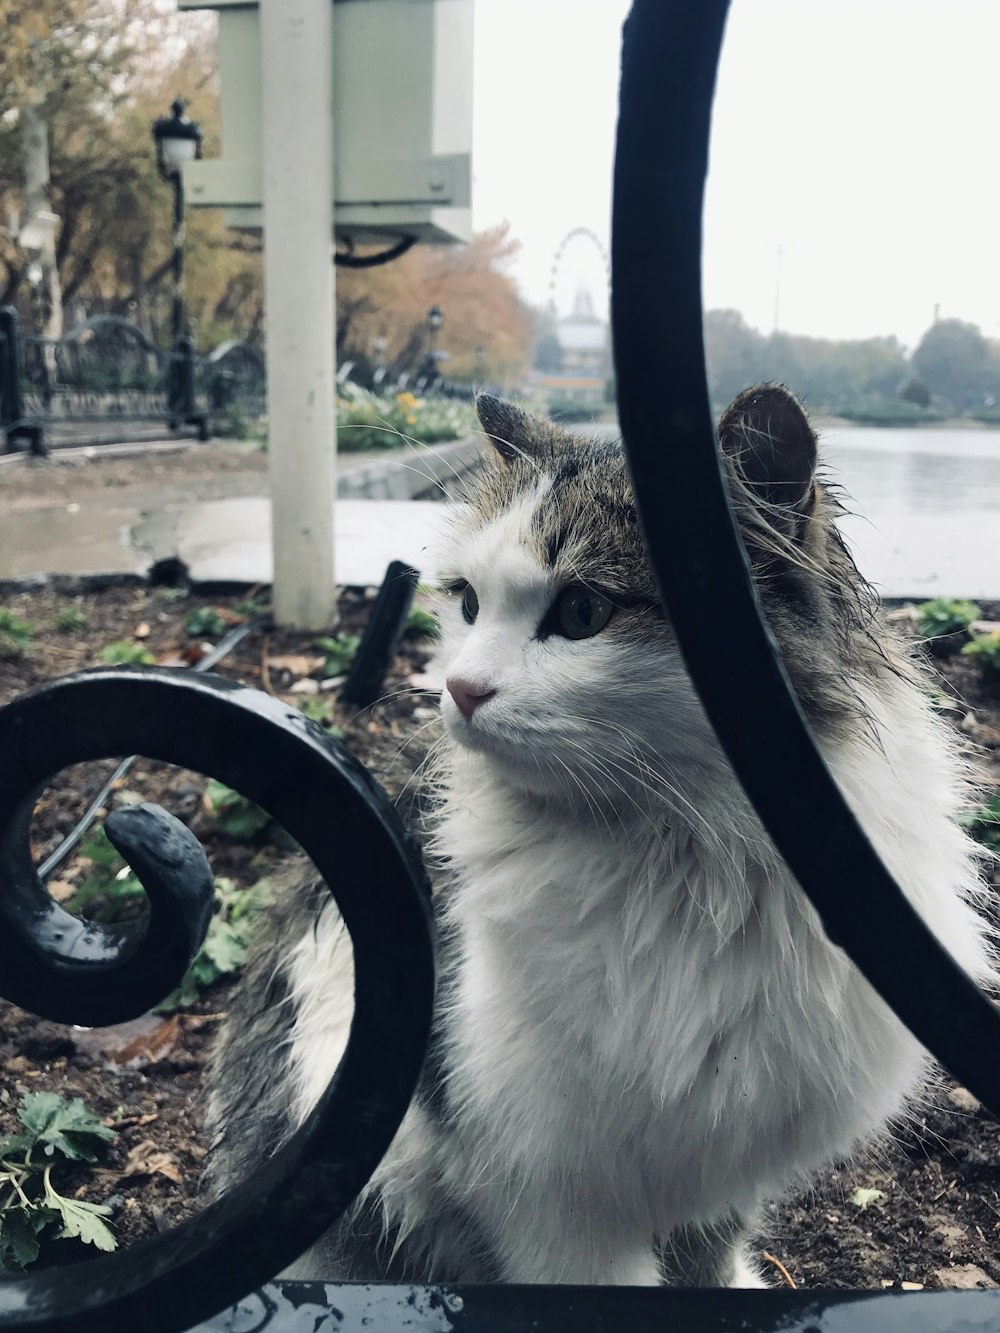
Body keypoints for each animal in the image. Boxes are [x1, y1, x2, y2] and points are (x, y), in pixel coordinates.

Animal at [204, 389, 997, 1290]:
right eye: (468, 603)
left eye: (583, 613)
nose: (458, 689)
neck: (690, 862)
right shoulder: (556, 1199)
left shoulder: (721, 1159)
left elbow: (709, 1258)